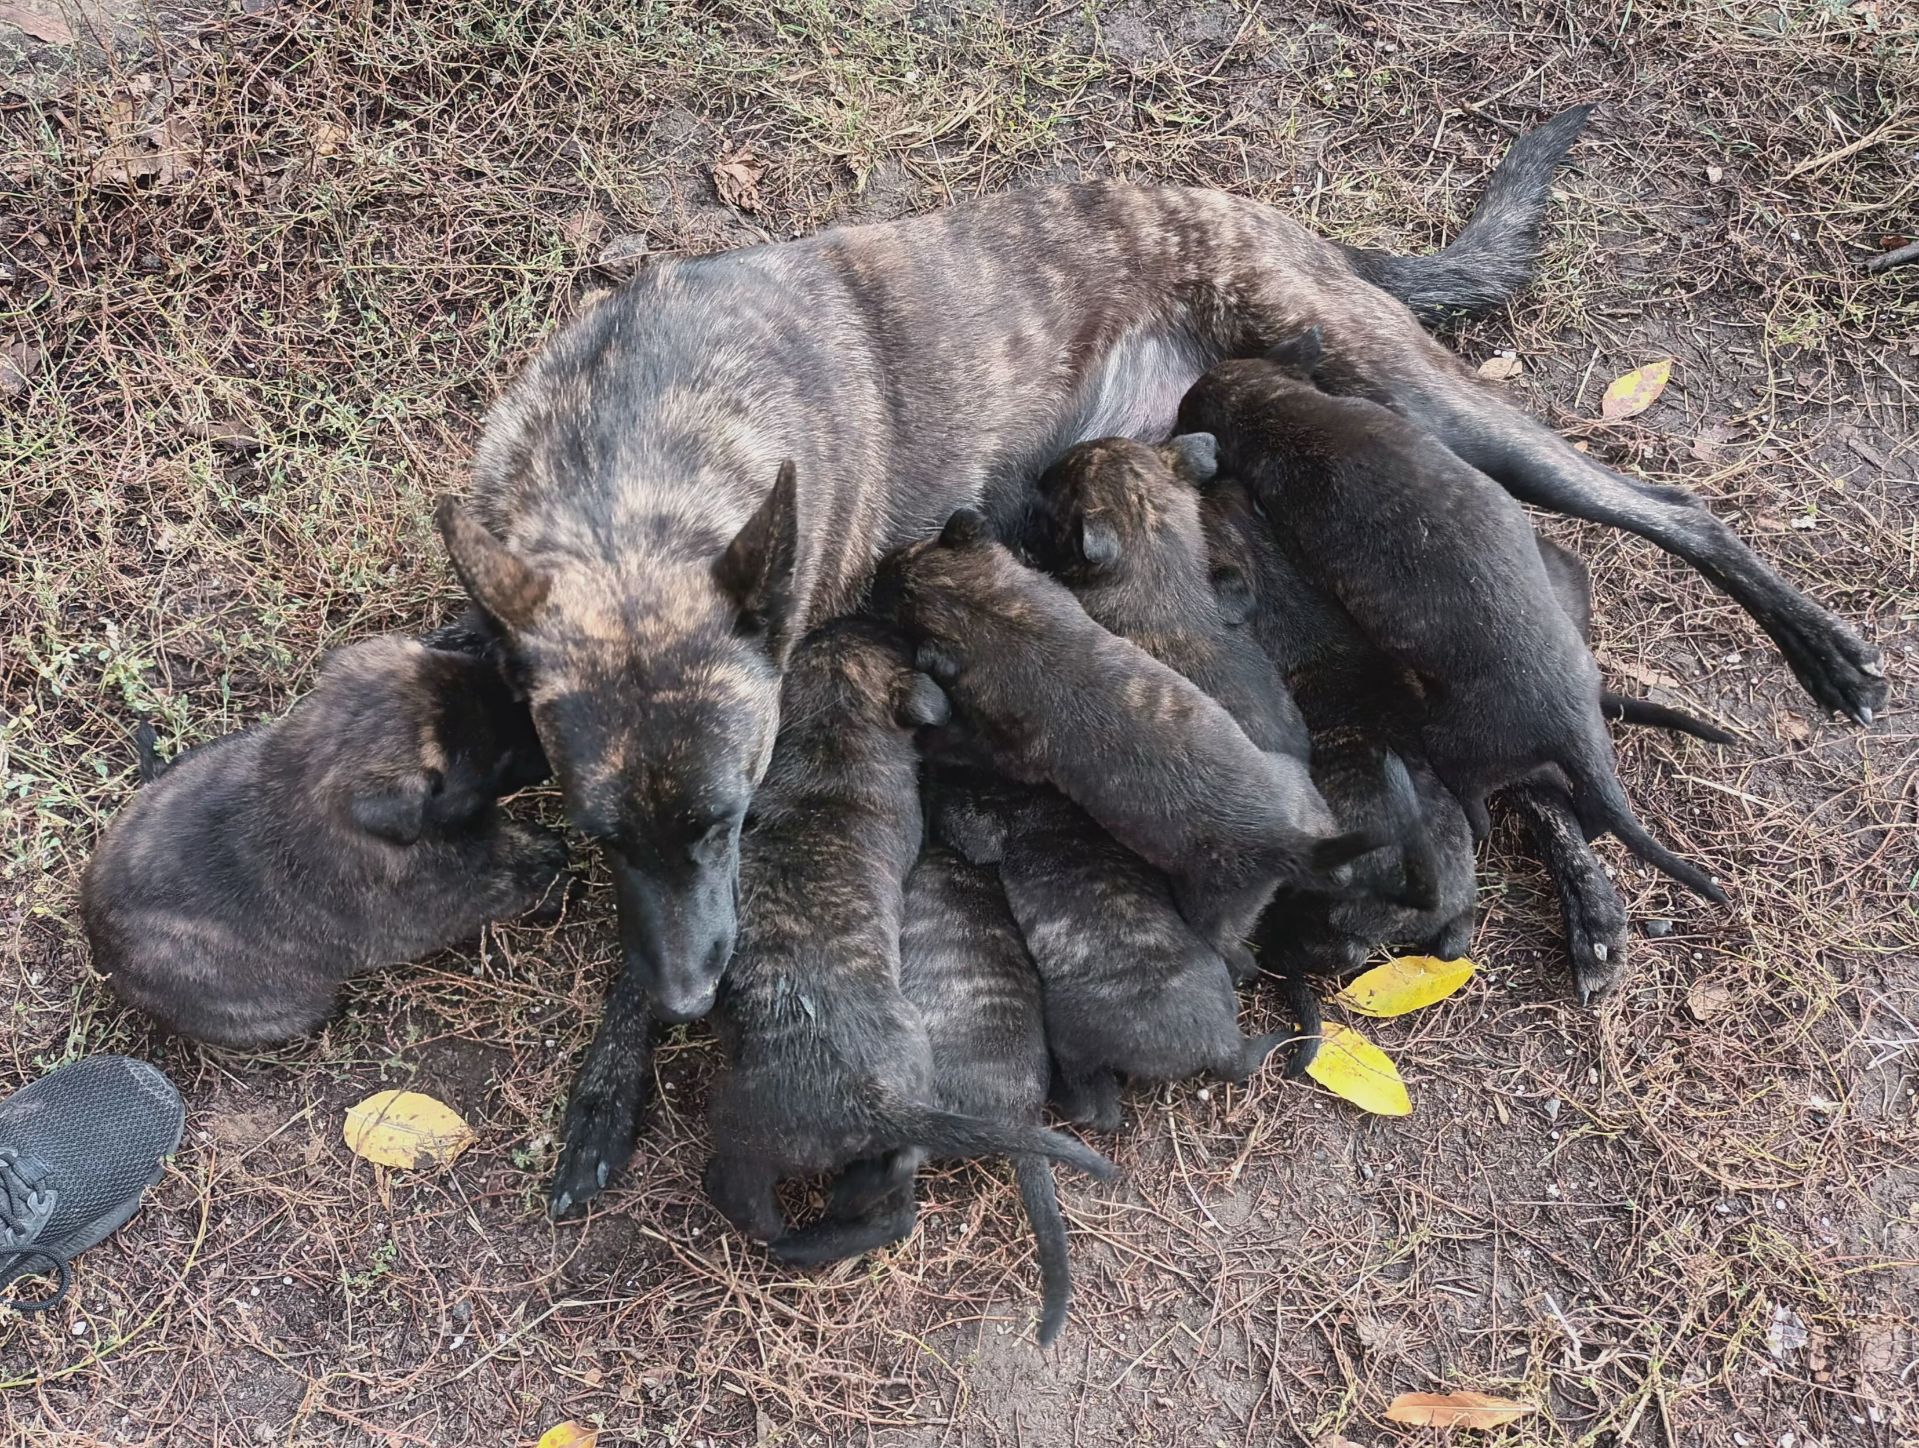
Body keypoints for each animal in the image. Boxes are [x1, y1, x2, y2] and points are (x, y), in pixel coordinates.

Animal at [83, 640, 560, 1050]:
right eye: (498, 760)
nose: (553, 751)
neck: (311, 776)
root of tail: (100, 949)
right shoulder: (434, 906)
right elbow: (502, 881)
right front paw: (550, 869)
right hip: (285, 1005)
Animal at [878, 510, 1389, 974]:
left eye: (898, 590)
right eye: (908, 556)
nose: (880, 568)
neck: (995, 611)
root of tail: (1285, 841)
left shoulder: (1010, 748)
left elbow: (966, 743)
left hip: (1214, 904)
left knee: (1232, 948)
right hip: (1297, 786)